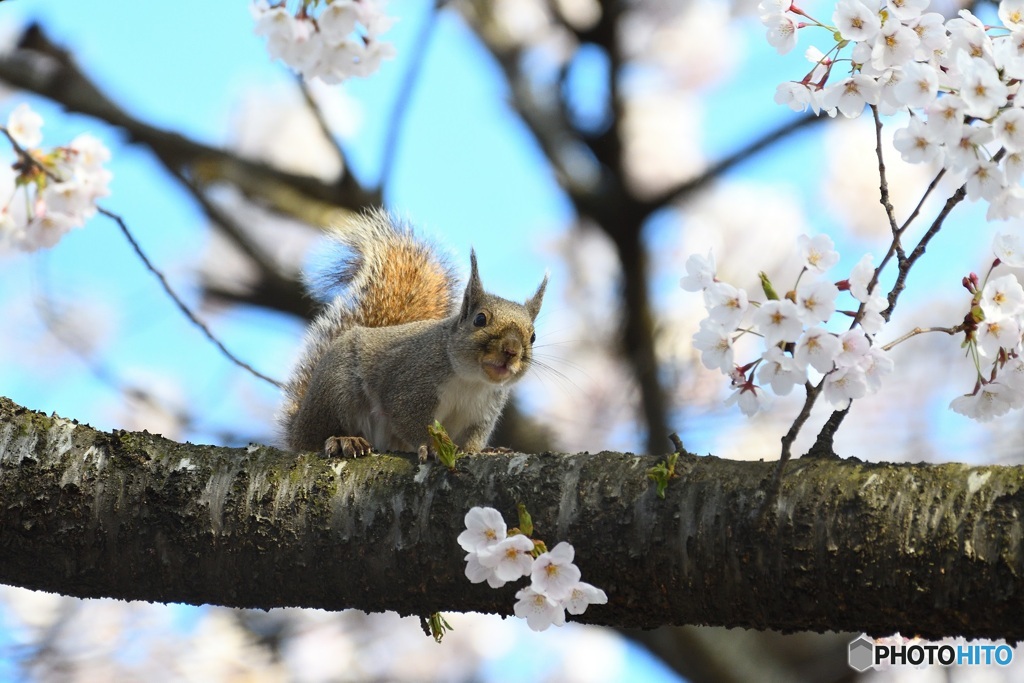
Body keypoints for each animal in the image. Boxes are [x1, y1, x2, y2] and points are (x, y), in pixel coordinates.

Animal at [276, 209, 548, 458]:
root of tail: (298, 430)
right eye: (480, 319)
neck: (471, 380)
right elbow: (410, 421)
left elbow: (473, 438)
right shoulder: (409, 387)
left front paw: (482, 451)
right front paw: (431, 446)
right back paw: (344, 440)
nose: (511, 350)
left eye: (533, 337)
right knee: (323, 434)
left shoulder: (482, 413)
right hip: (337, 390)